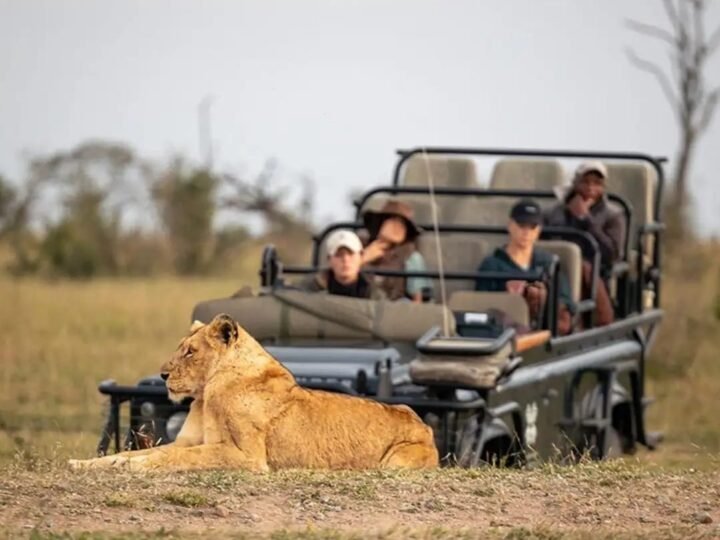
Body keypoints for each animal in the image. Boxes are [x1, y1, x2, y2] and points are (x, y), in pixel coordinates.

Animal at [69, 313, 439, 471]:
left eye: (190, 352)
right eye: (180, 348)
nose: (162, 375)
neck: (207, 394)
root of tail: (425, 425)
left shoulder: (248, 456)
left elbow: (176, 458)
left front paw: (134, 468)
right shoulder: (187, 440)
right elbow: (136, 452)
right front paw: (86, 463)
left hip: (395, 463)